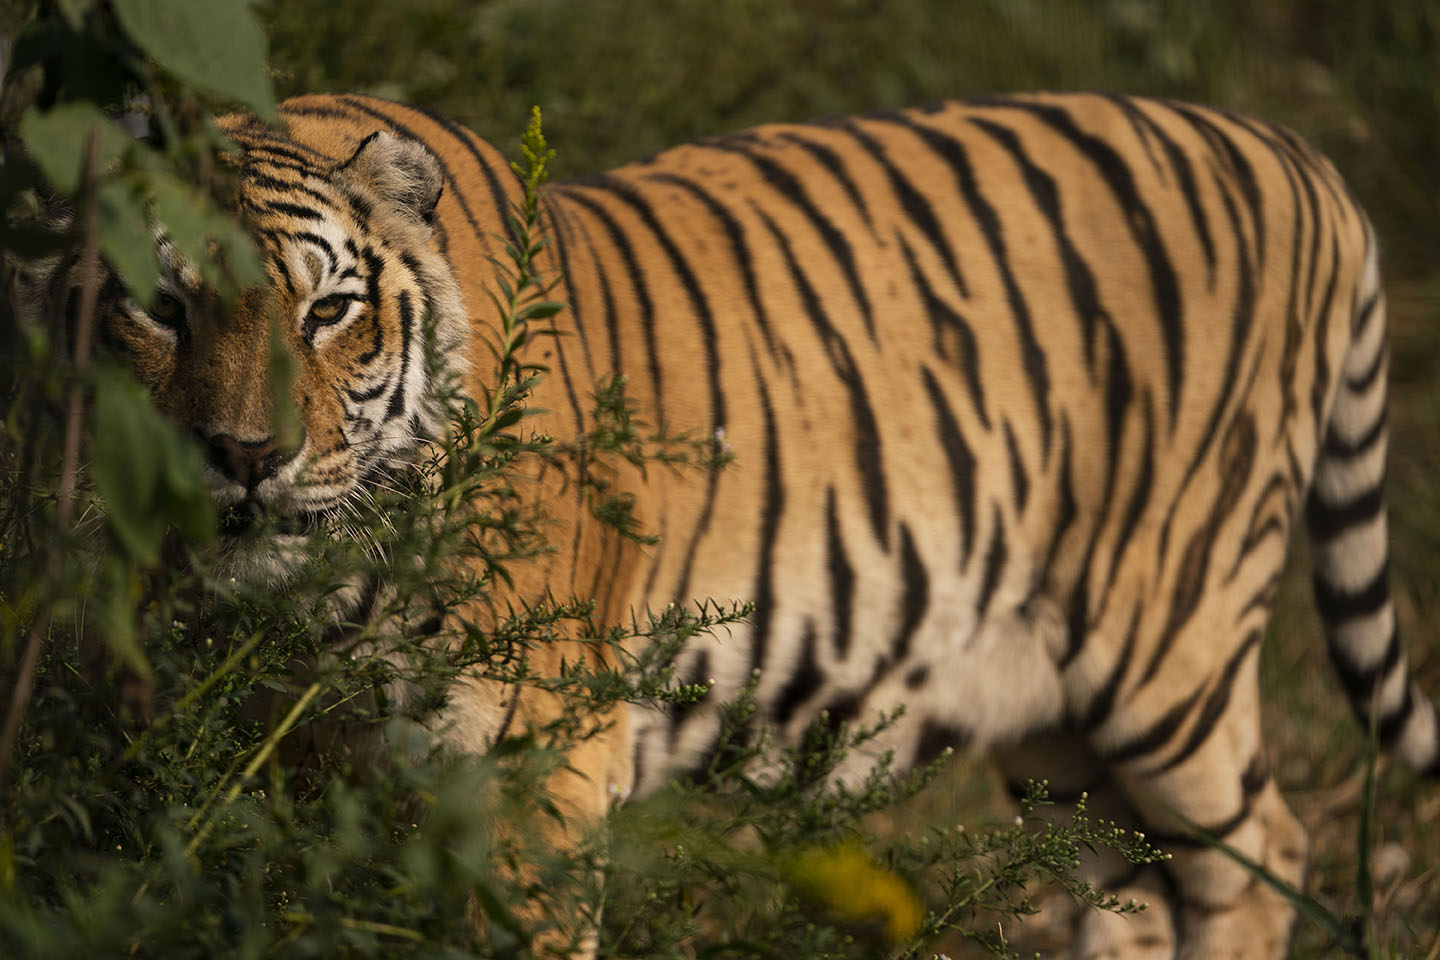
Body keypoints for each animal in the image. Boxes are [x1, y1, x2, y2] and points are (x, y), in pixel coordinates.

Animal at [64, 92, 1440, 960]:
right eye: (158, 304)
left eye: (329, 311)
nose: (247, 458)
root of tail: (1296, 155)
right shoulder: (283, 767)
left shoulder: (533, 751)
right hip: (1064, 735)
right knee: (1130, 884)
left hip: (1167, 653)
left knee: (1260, 848)